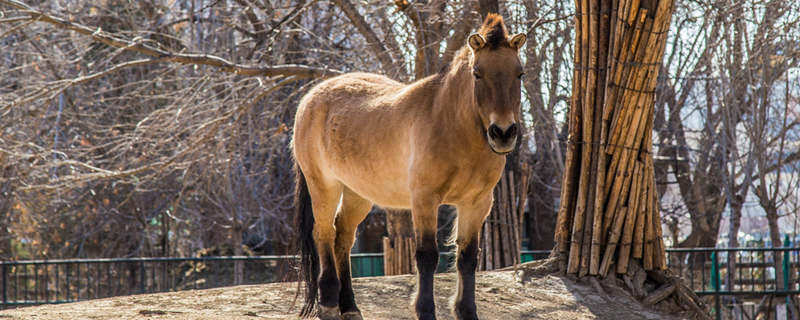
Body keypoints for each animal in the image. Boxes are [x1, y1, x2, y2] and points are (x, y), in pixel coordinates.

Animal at [292, 13, 524, 320]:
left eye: (519, 73)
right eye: (477, 73)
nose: (503, 133)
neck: (451, 126)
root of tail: (310, 98)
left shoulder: (477, 203)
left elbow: (467, 257)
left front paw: (466, 311)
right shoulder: (425, 200)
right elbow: (427, 256)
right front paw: (424, 310)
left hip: (357, 194)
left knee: (343, 237)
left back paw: (350, 306)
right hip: (323, 186)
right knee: (324, 234)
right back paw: (329, 303)